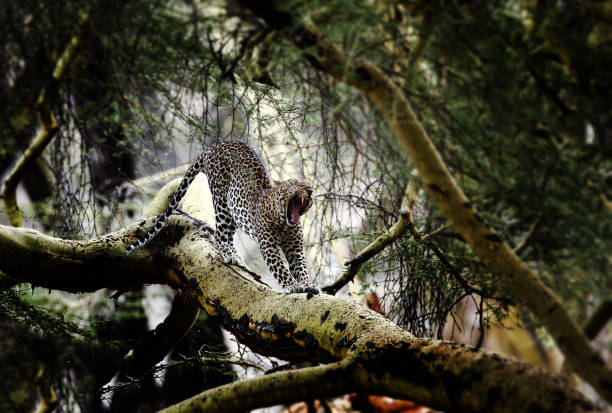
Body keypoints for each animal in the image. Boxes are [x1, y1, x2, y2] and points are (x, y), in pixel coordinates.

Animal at [122, 140, 318, 294]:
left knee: (227, 236)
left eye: (309, 184)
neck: (284, 222)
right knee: (219, 235)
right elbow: (280, 268)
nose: (310, 189)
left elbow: (301, 267)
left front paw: (308, 284)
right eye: (296, 183)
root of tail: (217, 144)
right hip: (223, 204)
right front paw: (292, 286)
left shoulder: (294, 249)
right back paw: (230, 255)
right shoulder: (268, 246)